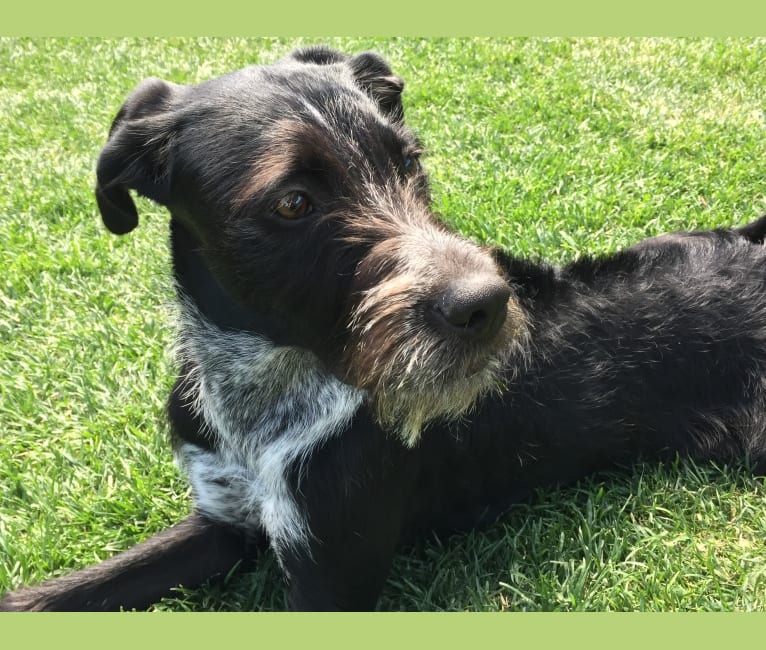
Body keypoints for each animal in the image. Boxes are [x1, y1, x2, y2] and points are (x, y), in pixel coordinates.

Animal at [1, 45, 766, 608]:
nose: (490, 305)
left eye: (408, 162)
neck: (266, 392)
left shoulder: (330, 566)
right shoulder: (222, 522)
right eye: (293, 202)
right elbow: (67, 590)